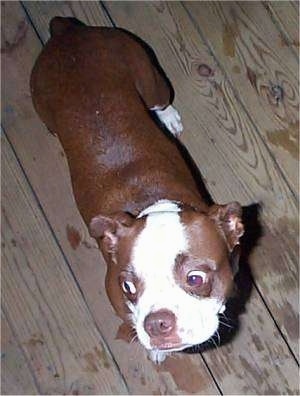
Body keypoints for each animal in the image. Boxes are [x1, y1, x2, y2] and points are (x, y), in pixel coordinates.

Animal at [30, 18, 244, 366]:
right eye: (128, 286)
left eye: (195, 279)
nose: (157, 322)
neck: (152, 203)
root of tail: (68, 31)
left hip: (149, 76)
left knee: (160, 99)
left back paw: (168, 117)